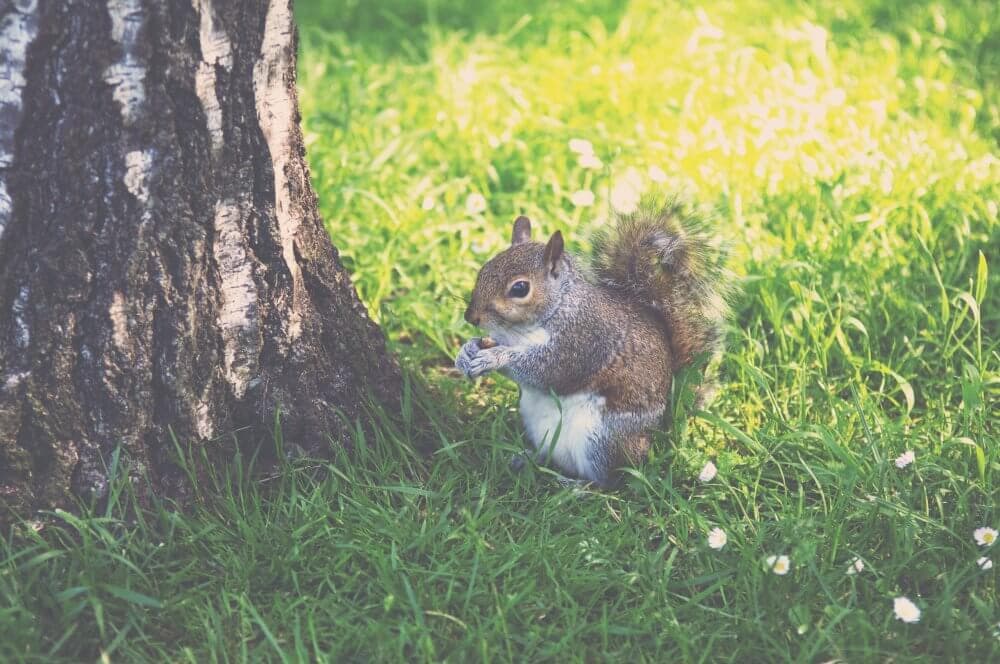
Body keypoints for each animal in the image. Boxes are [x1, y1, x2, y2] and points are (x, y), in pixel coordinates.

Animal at [455, 199, 730, 487]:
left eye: (520, 288)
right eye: (483, 270)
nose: (471, 317)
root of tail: (656, 436)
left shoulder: (584, 341)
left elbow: (546, 371)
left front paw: (495, 358)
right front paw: (466, 352)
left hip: (603, 440)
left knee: (609, 481)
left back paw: (575, 485)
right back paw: (527, 459)